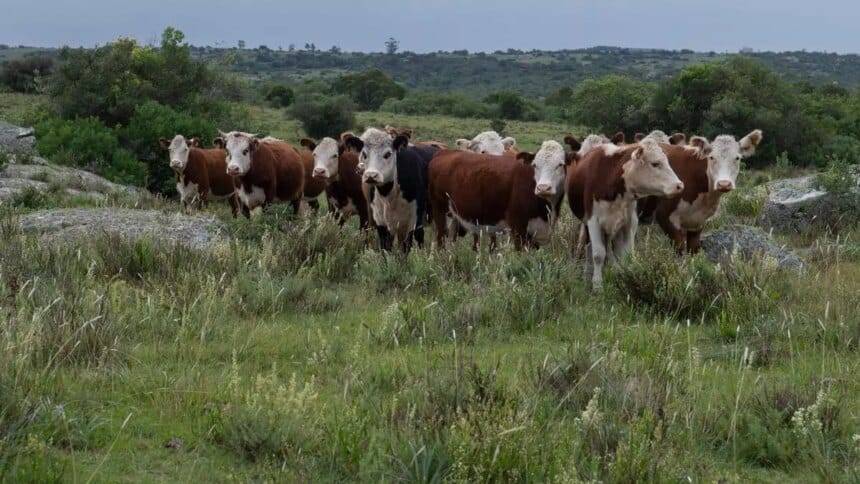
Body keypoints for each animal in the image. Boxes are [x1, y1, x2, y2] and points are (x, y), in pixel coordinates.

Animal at [428, 139, 572, 250]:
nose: (543, 188)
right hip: (440, 210)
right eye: (535, 165)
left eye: (560, 164)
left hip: (454, 216)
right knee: (441, 238)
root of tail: (444, 153)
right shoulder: (518, 228)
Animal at [564, 138, 684, 290]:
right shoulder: (593, 221)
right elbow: (598, 254)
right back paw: (587, 275)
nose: (679, 185)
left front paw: (625, 277)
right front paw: (597, 285)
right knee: (589, 248)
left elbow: (626, 254)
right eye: (655, 163)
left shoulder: (630, 222)